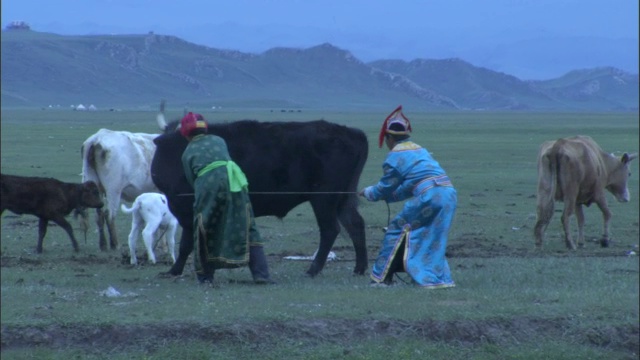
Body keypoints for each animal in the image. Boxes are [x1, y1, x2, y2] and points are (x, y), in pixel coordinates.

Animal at [151, 111, 370, 278]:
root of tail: (352, 132)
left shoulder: (188, 212)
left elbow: (187, 243)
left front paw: (175, 270)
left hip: (324, 200)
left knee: (330, 229)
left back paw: (313, 269)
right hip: (342, 199)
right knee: (355, 224)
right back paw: (359, 268)